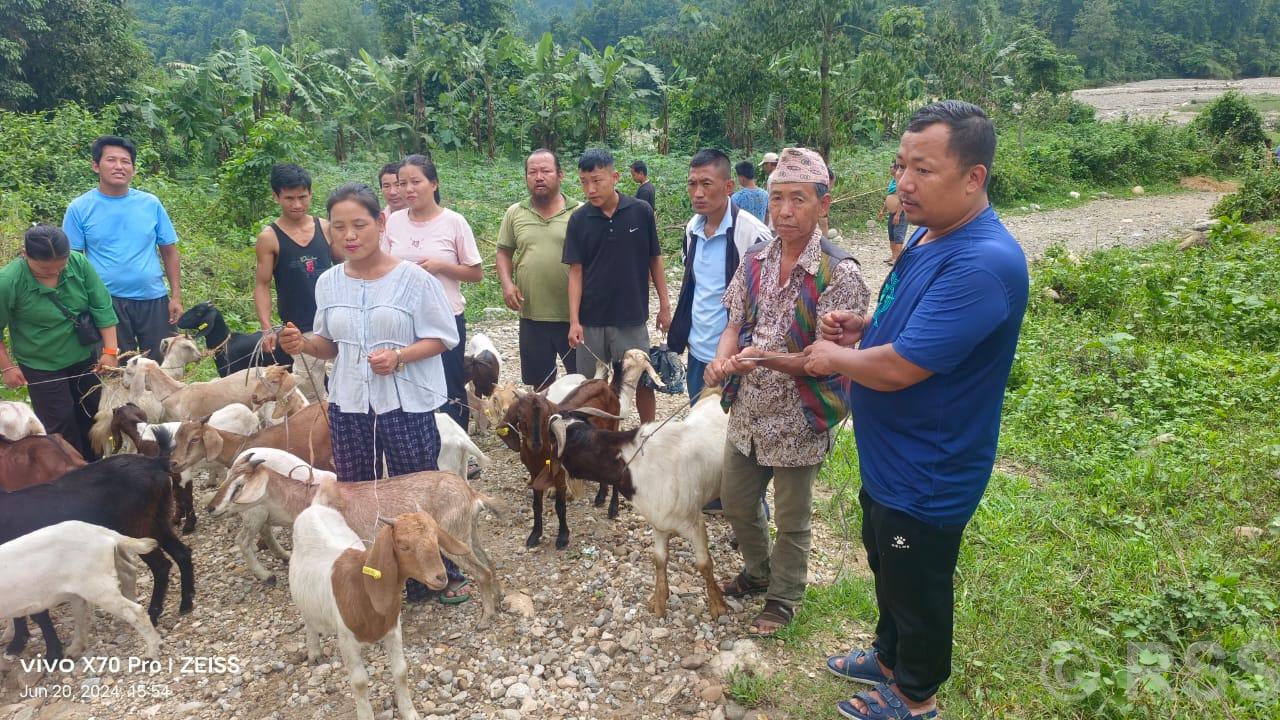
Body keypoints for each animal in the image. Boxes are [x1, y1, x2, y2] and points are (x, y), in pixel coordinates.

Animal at [0, 517, 163, 661]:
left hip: (98, 586)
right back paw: (74, 650)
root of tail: (103, 533)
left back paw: (151, 652)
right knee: (83, 614)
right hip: (81, 589)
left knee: (135, 611)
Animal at [291, 476, 471, 717]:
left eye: (436, 538)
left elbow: (401, 671)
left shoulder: (393, 629)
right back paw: (314, 652)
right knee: (308, 620)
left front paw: (409, 711)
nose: (440, 576)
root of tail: (316, 507)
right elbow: (359, 682)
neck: (363, 586)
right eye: (403, 545)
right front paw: (366, 715)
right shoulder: (346, 640)